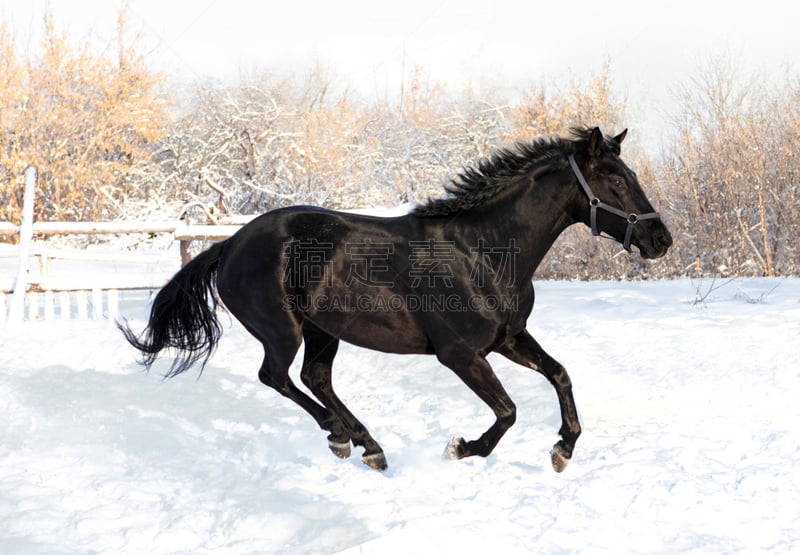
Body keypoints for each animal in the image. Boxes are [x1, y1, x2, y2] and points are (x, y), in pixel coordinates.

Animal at [119, 127, 668, 474]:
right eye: (615, 180)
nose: (661, 239)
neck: (483, 251)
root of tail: (229, 244)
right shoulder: (460, 355)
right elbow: (509, 412)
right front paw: (461, 449)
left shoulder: (508, 339)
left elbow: (560, 375)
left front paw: (563, 450)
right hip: (282, 329)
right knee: (276, 376)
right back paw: (341, 436)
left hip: (323, 330)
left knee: (314, 377)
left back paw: (368, 446)